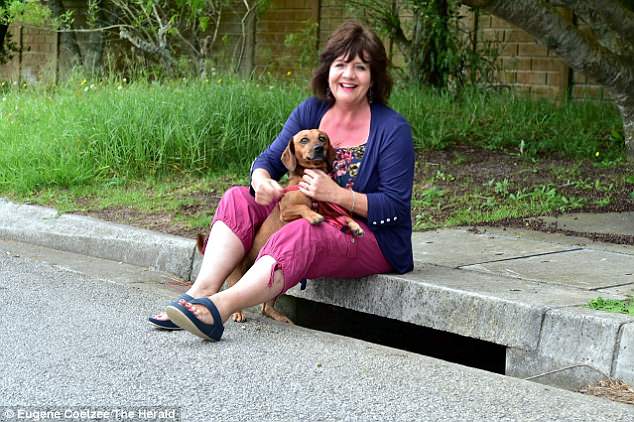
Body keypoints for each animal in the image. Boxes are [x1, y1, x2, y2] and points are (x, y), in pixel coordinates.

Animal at [197, 129, 363, 323]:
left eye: (322, 138)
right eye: (304, 140)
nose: (319, 148)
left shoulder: (330, 211)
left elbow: (343, 216)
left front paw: (355, 226)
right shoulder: (287, 209)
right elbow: (304, 207)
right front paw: (314, 216)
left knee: (266, 306)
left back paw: (280, 317)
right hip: (237, 273)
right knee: (234, 291)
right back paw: (237, 313)